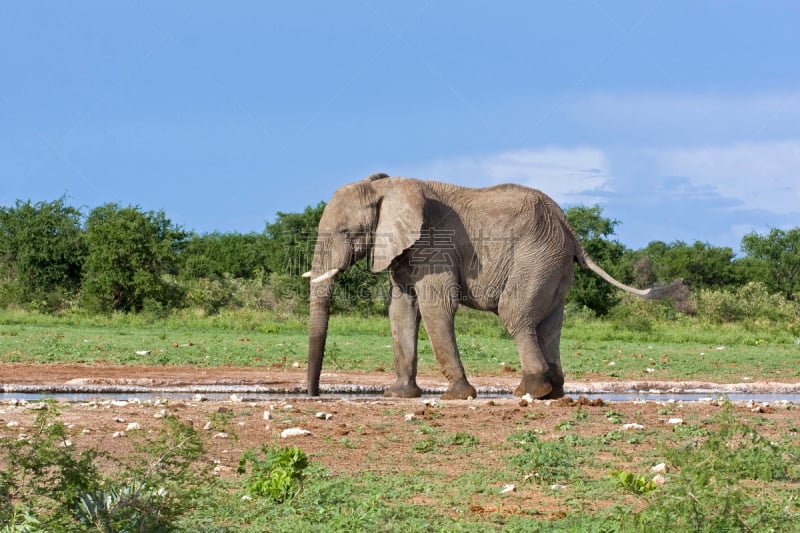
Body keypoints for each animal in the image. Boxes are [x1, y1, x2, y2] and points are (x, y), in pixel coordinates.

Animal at [304, 174, 676, 400]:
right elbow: (401, 310)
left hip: (535, 257)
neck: (388, 186)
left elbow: (435, 307)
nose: (313, 394)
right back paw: (553, 392)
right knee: (550, 323)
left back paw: (529, 391)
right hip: (554, 263)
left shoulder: (435, 246)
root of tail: (567, 225)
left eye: (345, 232)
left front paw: (456, 396)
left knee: (515, 314)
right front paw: (398, 395)